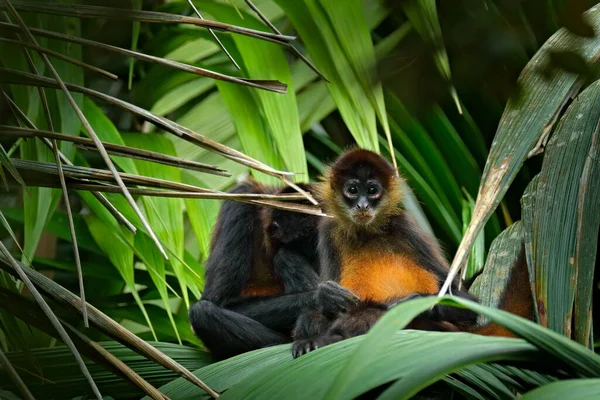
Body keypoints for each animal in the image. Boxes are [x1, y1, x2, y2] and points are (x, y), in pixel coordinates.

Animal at [188, 178, 356, 360]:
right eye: (300, 246)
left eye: (316, 249)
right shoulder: (239, 203)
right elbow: (219, 301)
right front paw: (324, 297)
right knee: (201, 312)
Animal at [290, 149, 528, 356]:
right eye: (353, 190)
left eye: (372, 191)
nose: (363, 205)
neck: (367, 232)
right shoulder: (328, 229)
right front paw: (326, 295)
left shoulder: (405, 226)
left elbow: (467, 304)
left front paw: (404, 303)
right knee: (312, 315)